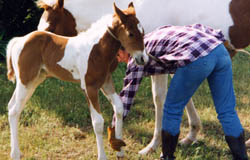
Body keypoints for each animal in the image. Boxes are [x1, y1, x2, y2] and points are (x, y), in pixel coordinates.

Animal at [5, 2, 147, 160]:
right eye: (131, 33)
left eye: (143, 32)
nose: (143, 58)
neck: (97, 49)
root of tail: (19, 40)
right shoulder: (90, 88)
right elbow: (98, 122)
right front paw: (102, 156)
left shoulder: (106, 83)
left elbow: (119, 108)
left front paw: (119, 150)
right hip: (25, 81)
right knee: (14, 110)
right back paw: (15, 153)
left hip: (33, 82)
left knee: (12, 106)